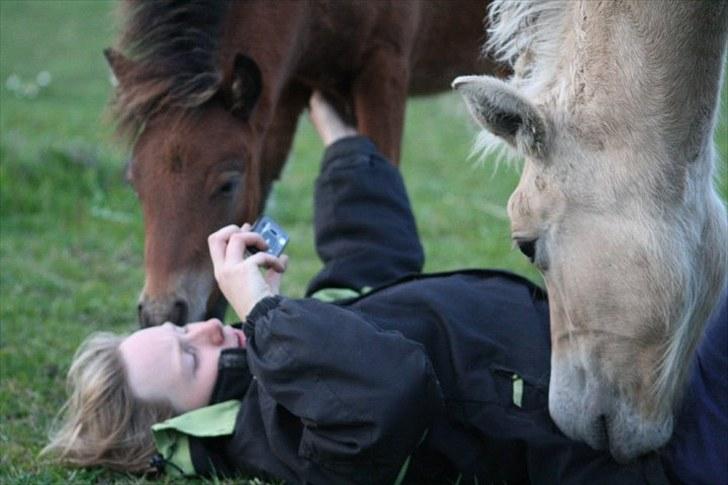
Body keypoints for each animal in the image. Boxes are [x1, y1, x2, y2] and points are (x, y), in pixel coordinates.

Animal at [106, 0, 494, 328]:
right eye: (134, 183)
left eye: (227, 184)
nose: (161, 314)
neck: (315, 10)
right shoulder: (287, 85)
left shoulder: (385, 65)